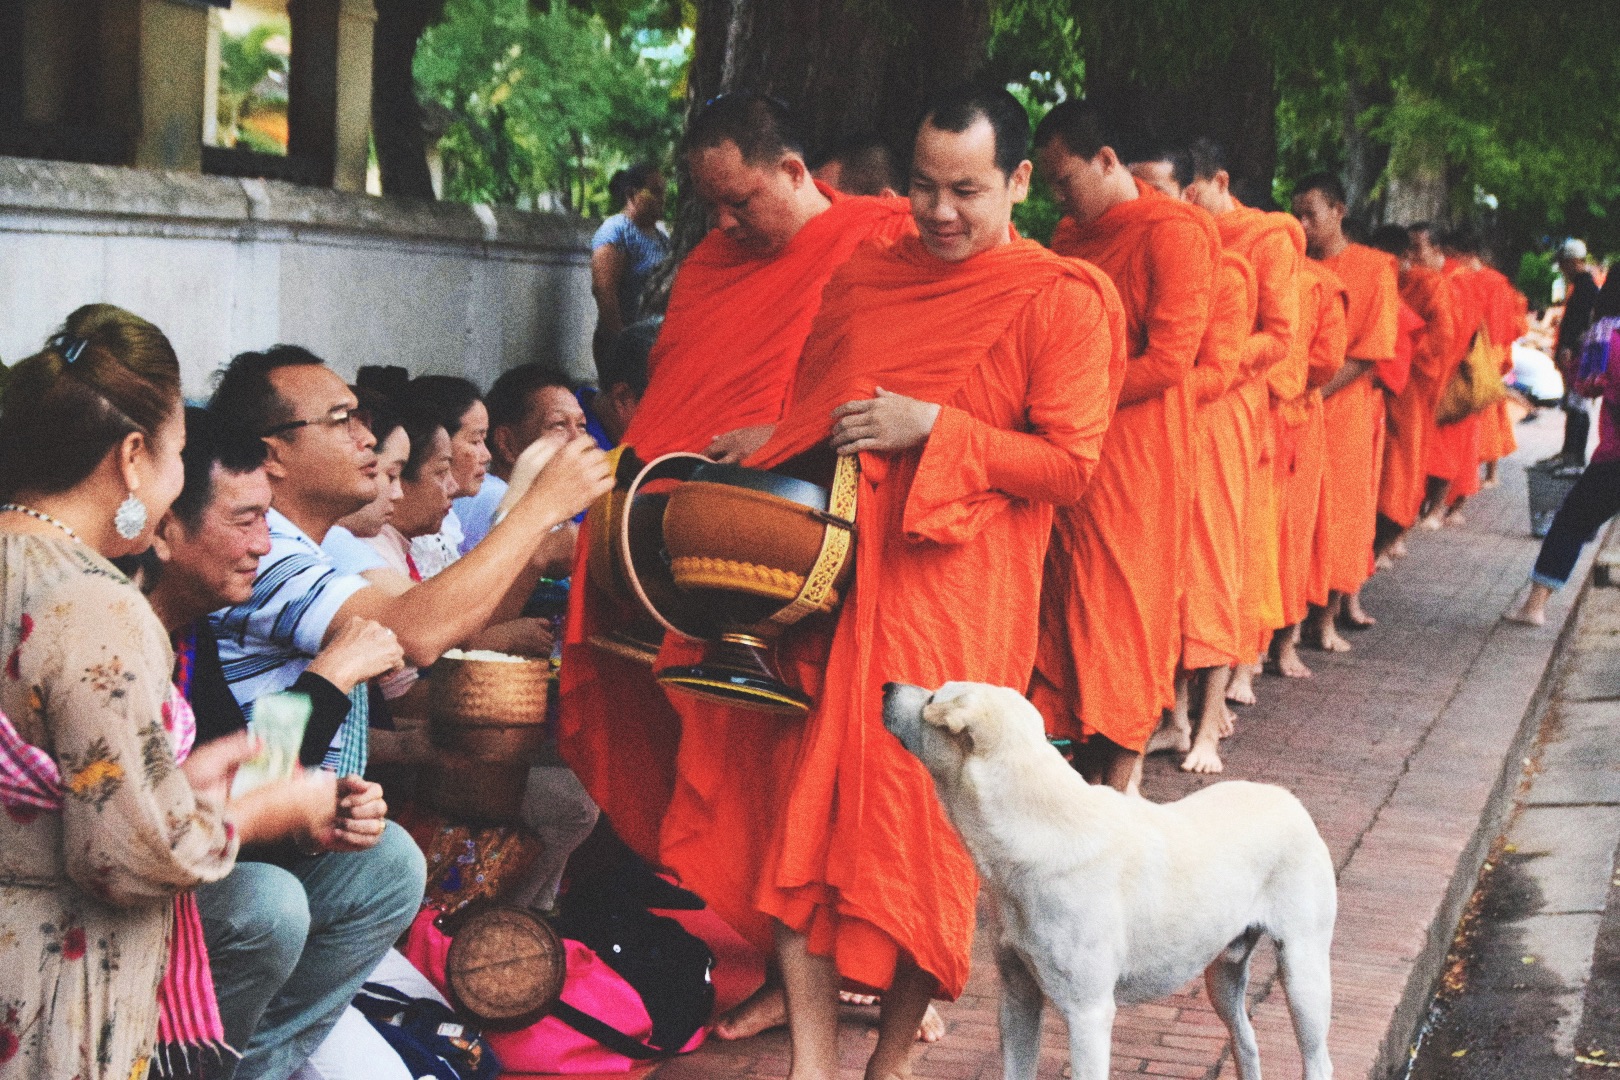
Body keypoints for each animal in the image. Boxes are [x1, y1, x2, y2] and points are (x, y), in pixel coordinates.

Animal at [881, 683, 1334, 1080]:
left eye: (934, 697)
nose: (887, 687)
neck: (1034, 830)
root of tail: (1289, 799)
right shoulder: (1017, 997)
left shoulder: (1089, 1013)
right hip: (1221, 974)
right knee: (1245, 1041)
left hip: (1303, 972)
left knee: (1318, 1059)